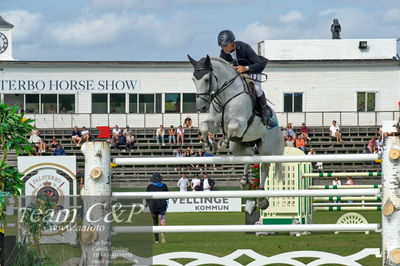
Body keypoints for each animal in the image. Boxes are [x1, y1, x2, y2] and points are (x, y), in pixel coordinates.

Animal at [188, 55, 284, 209]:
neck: (225, 96)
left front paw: (221, 143)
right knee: (249, 156)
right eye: (193, 79)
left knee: (264, 166)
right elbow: (203, 126)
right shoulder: (216, 124)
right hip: (239, 146)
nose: (201, 107)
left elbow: (232, 126)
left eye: (207, 79)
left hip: (266, 148)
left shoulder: (240, 124)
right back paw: (244, 182)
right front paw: (208, 145)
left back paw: (261, 198)